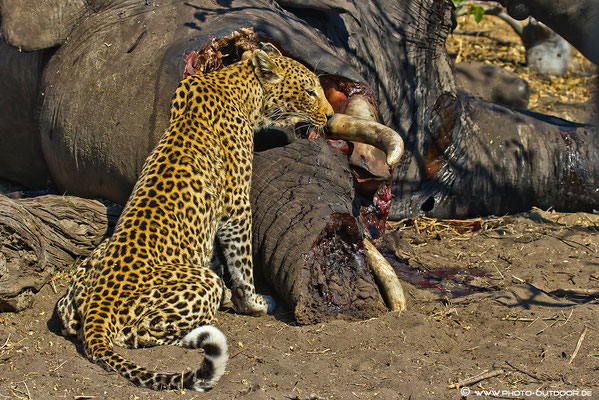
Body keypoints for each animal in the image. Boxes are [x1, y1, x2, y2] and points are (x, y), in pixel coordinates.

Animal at [55, 43, 336, 390]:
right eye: (310, 91)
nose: (331, 115)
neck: (240, 88)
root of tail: (98, 307)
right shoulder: (236, 206)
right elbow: (242, 263)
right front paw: (254, 303)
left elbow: (215, 254)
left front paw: (236, 296)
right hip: (198, 286)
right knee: (141, 334)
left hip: (82, 277)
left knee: (68, 317)